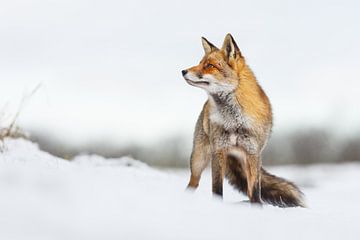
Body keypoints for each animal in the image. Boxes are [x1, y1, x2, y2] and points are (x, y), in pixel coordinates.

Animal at [183, 34, 304, 208]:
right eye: (200, 63)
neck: (235, 120)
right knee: (193, 183)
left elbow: (255, 190)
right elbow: (217, 189)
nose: (183, 71)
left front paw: (257, 209)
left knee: (248, 190)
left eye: (209, 65)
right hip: (198, 160)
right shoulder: (218, 150)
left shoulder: (253, 153)